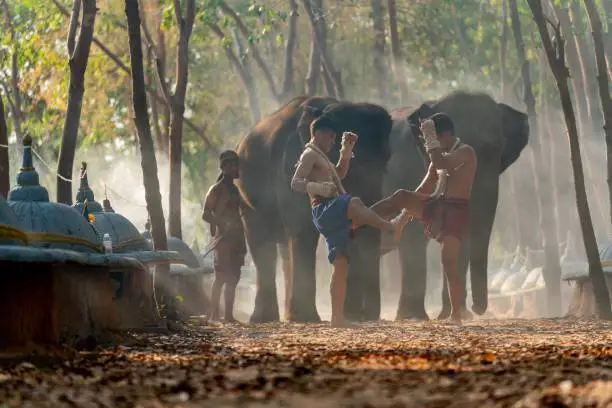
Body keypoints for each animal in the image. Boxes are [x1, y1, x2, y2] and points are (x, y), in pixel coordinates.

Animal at [234, 95, 392, 322]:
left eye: (385, 164)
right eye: (357, 166)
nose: (367, 316)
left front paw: (351, 315)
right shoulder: (289, 164)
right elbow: (303, 228)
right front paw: (306, 318)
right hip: (246, 194)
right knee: (261, 242)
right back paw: (266, 318)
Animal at [380, 91, 528, 320]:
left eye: (497, 151)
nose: (477, 309)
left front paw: (453, 315)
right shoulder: (404, 170)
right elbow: (412, 237)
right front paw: (414, 318)